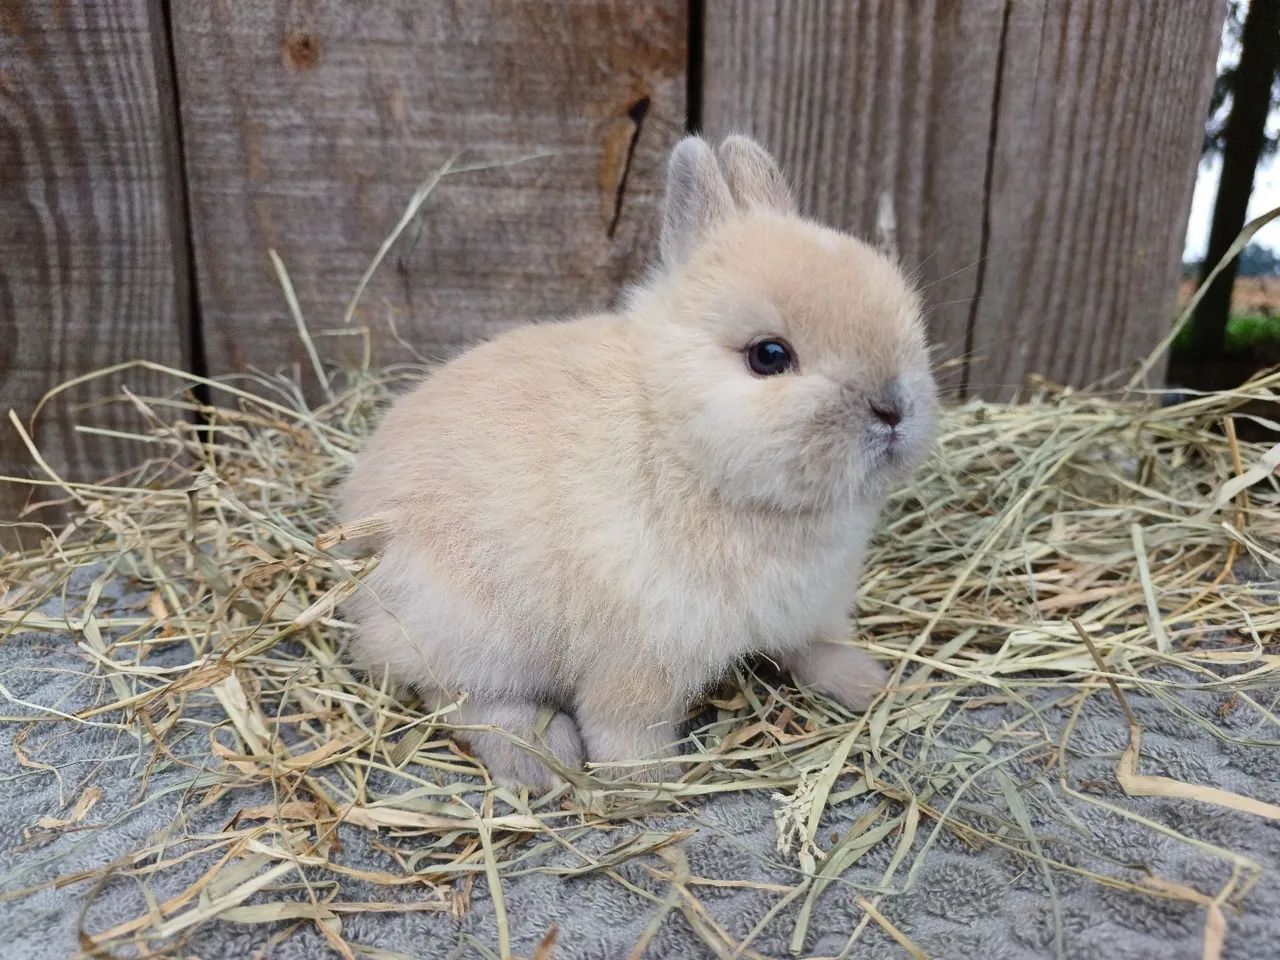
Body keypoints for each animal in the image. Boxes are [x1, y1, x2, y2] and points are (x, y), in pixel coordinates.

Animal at [338, 134, 937, 789]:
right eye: (769, 356)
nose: (893, 409)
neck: (678, 441)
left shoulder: (812, 609)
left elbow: (817, 647)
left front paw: (866, 685)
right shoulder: (639, 657)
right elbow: (624, 725)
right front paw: (647, 781)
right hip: (470, 635)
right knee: (462, 701)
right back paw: (542, 758)